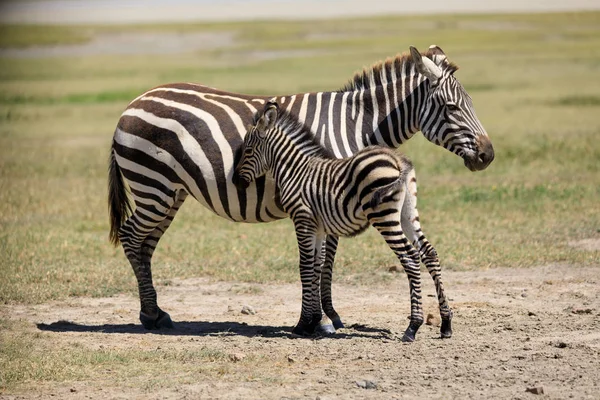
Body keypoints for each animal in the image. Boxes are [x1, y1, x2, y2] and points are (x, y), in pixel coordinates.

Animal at [234, 101, 450, 342]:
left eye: (248, 150)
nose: (236, 181)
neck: (294, 170)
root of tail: (397, 160)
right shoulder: (317, 226)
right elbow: (316, 266)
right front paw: (313, 321)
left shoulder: (302, 218)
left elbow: (305, 266)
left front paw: (302, 324)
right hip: (408, 213)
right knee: (429, 253)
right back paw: (446, 324)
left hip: (384, 216)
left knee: (410, 258)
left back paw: (413, 327)